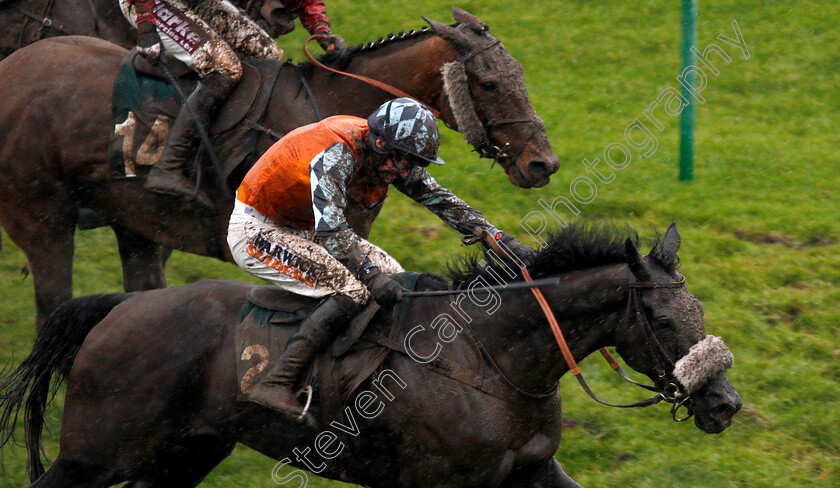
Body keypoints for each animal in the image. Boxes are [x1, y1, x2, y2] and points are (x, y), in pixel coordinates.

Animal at [0, 6, 560, 328]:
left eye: (520, 73)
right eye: (489, 82)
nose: (543, 163)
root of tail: (11, 69)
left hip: (132, 218)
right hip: (45, 220)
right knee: (52, 302)